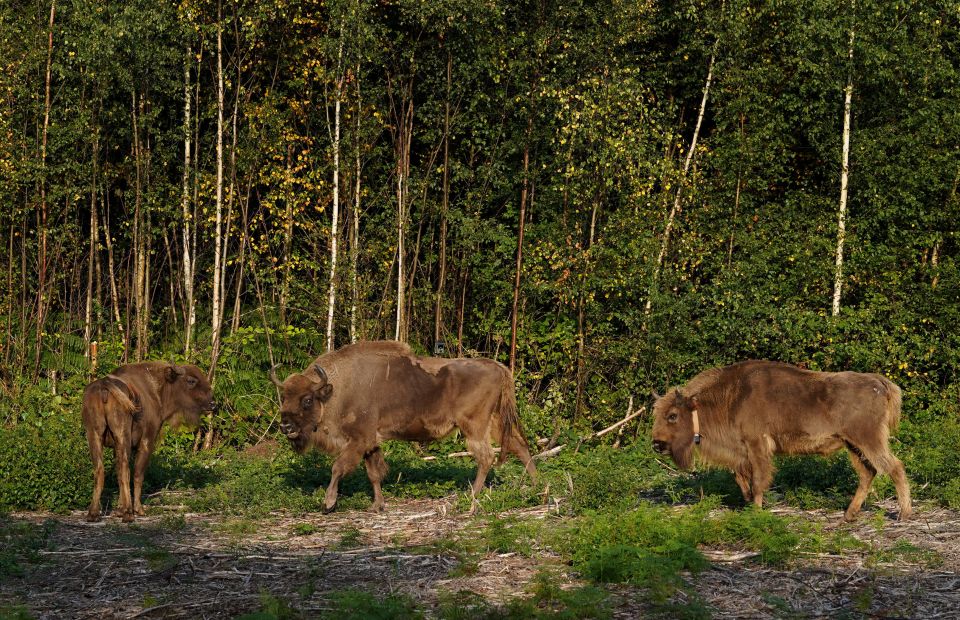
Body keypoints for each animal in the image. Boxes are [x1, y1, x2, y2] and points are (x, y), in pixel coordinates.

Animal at [81, 364, 218, 524]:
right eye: (191, 380)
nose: (212, 404)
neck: (157, 389)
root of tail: (104, 385)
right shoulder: (147, 440)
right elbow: (138, 474)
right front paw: (137, 510)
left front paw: (119, 510)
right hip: (122, 434)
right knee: (125, 469)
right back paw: (129, 514)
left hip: (94, 434)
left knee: (100, 469)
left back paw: (93, 514)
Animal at [270, 340, 540, 512]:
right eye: (284, 397)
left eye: (307, 400)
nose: (286, 426)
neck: (336, 390)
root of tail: (499, 367)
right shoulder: (371, 443)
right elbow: (373, 474)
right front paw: (377, 505)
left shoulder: (359, 440)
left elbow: (338, 468)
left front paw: (328, 503)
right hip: (494, 422)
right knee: (519, 447)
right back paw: (540, 489)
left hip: (474, 426)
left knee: (486, 457)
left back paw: (471, 498)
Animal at [652, 360, 916, 520]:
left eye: (672, 415)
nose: (657, 444)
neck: (732, 397)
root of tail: (879, 383)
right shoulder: (743, 453)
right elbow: (741, 478)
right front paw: (748, 502)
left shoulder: (757, 447)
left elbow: (758, 481)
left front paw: (756, 510)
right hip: (853, 445)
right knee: (868, 473)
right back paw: (849, 515)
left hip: (868, 440)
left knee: (895, 467)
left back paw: (904, 514)